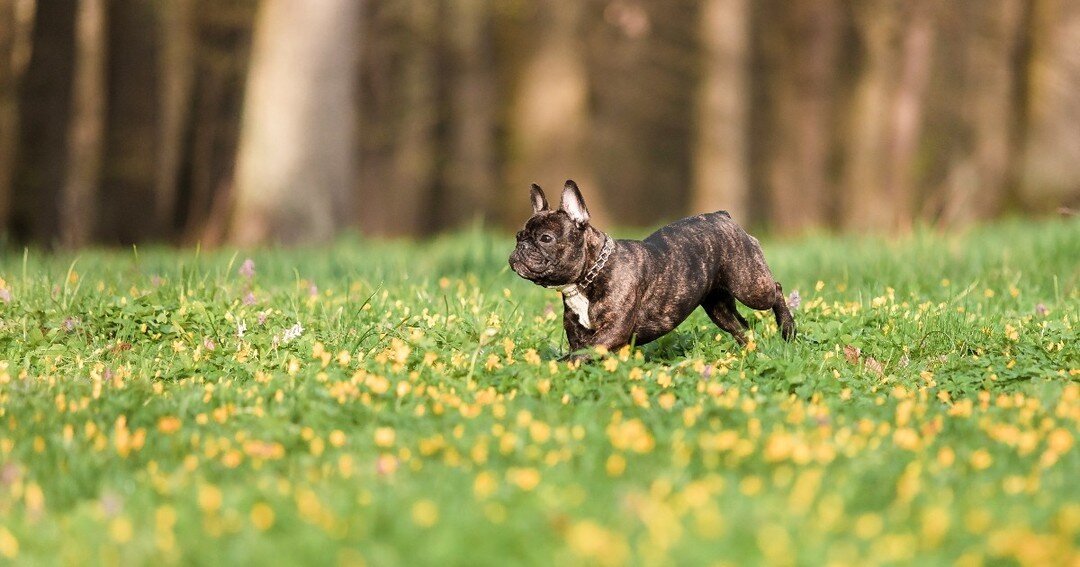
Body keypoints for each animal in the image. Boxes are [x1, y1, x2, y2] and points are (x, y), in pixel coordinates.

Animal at [505, 181, 794, 358]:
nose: (521, 247)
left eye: (545, 238)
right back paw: (752, 351)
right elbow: (582, 353)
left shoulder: (612, 331)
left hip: (750, 286)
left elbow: (580, 355)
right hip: (717, 307)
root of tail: (723, 216)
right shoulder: (579, 334)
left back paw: (788, 329)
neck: (588, 277)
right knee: (739, 327)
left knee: (776, 289)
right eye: (519, 236)